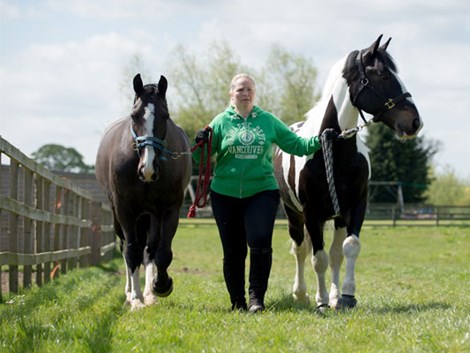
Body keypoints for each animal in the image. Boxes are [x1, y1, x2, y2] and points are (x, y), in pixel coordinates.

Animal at [95, 73, 191, 308]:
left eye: (165, 116)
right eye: (134, 115)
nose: (148, 169)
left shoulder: (168, 210)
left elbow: (162, 253)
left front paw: (160, 286)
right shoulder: (124, 210)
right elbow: (131, 251)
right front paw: (136, 299)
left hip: (150, 216)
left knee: (149, 250)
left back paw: (149, 293)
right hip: (120, 216)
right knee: (127, 248)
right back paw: (131, 293)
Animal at [272, 35, 422, 310]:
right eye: (383, 75)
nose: (415, 122)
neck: (333, 146)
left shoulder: (355, 206)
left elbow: (347, 249)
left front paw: (346, 296)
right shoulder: (312, 212)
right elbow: (317, 258)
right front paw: (320, 301)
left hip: (337, 216)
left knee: (334, 253)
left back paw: (333, 296)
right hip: (293, 214)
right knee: (300, 250)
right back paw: (302, 294)